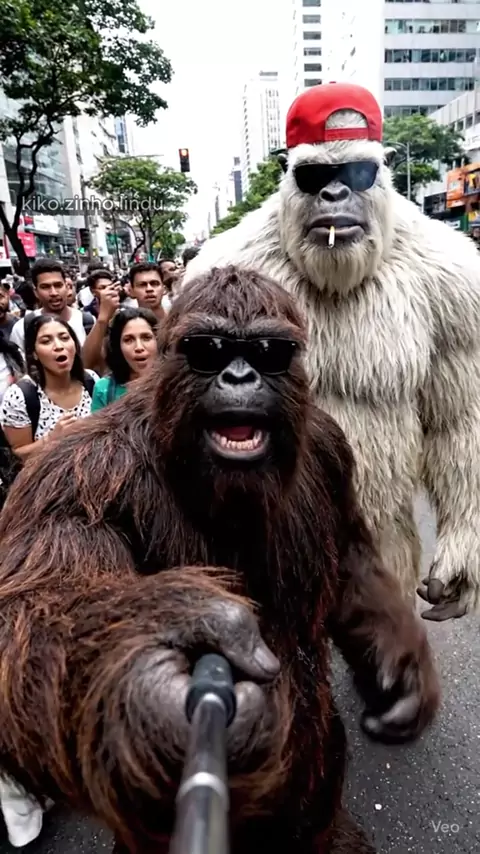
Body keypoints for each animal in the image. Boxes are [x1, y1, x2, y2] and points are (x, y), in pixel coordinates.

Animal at [0, 266, 440, 854]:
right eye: (207, 349)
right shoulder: (78, 478)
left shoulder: (332, 447)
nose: (238, 374)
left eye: (267, 351)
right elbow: (37, 602)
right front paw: (153, 678)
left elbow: (350, 554)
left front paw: (400, 667)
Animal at [184, 82, 480, 621]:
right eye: (315, 174)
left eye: (356, 172)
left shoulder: (458, 301)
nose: (334, 193)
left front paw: (460, 570)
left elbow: (459, 422)